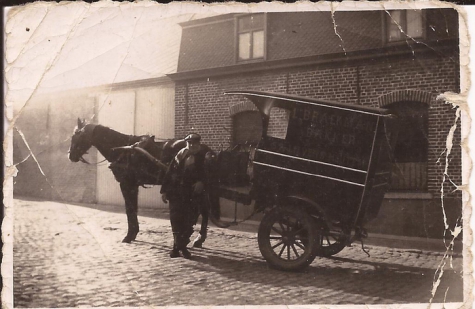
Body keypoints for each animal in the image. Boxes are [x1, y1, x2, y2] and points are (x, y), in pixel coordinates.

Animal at [68, 118, 219, 245]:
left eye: (77, 136)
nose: (70, 155)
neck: (122, 148)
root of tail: (206, 149)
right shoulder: (133, 186)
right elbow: (133, 209)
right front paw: (133, 233)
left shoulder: (127, 184)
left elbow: (130, 209)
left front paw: (129, 235)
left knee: (203, 210)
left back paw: (198, 238)